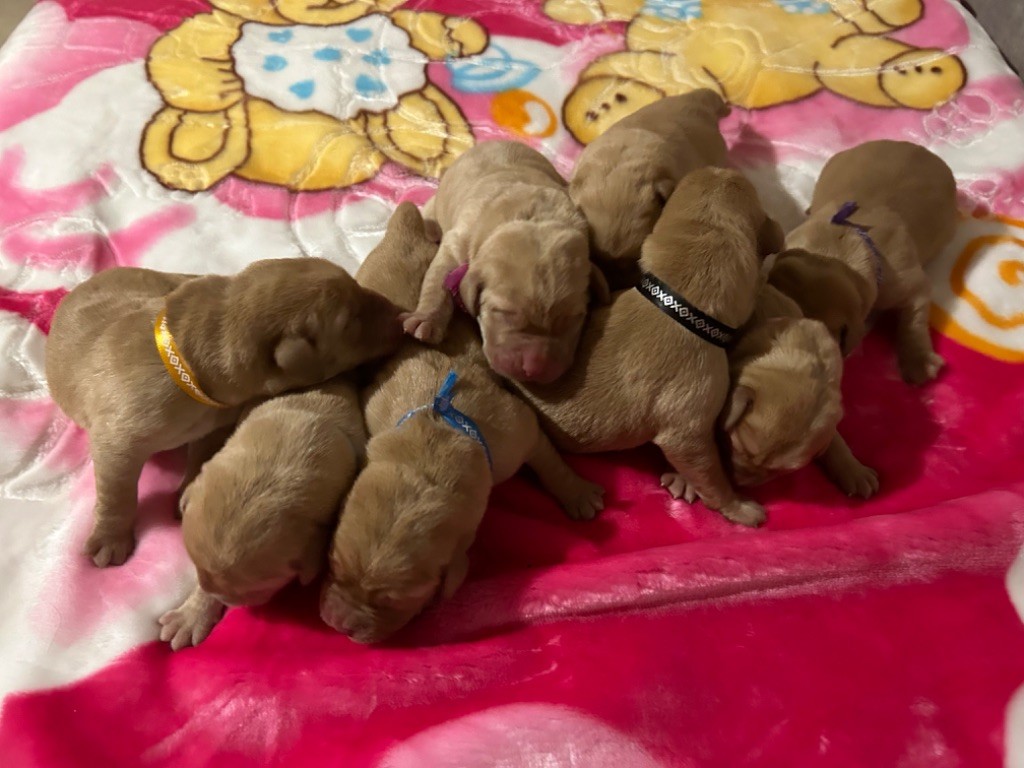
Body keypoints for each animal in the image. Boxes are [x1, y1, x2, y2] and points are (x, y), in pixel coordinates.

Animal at [46, 259, 401, 568]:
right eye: (351, 322)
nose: (400, 315)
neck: (188, 360)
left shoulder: (215, 422)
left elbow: (202, 454)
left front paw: (188, 489)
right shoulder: (119, 438)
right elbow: (116, 490)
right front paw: (110, 540)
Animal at [320, 203, 605, 644]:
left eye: (391, 600)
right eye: (333, 566)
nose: (337, 625)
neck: (434, 444)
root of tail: (404, 230)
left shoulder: (518, 433)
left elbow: (549, 459)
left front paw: (577, 492)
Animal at [400, 140, 610, 384]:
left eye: (575, 317)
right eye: (502, 312)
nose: (535, 370)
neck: (532, 217)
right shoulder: (457, 242)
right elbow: (438, 282)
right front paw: (425, 320)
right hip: (434, 205)